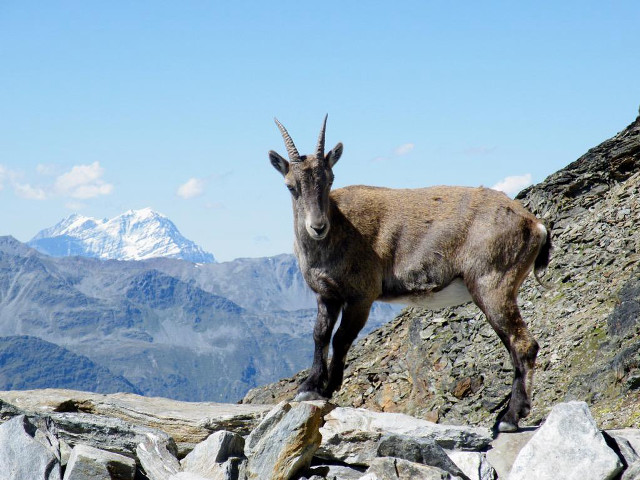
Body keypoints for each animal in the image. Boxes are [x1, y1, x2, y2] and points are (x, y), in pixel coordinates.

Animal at [269, 115, 551, 432]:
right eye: (291, 186)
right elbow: (320, 334)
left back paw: (509, 418)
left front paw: (328, 388)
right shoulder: (327, 295)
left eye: (329, 180)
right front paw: (310, 387)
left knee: (523, 344)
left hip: (493, 284)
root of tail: (535, 224)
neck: (339, 227)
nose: (317, 227)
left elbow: (341, 338)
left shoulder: (361, 296)